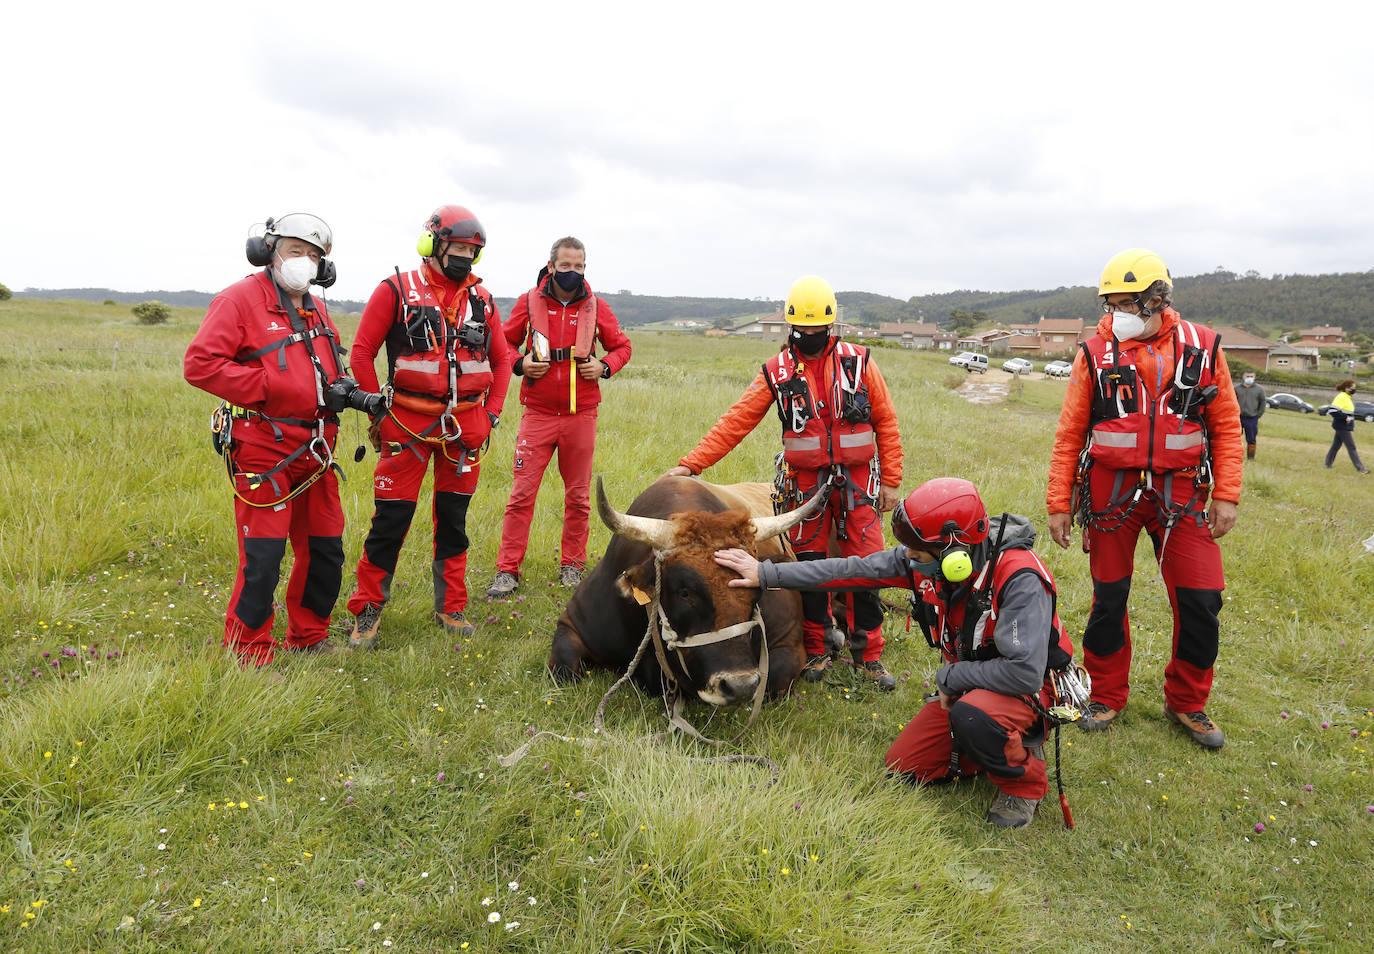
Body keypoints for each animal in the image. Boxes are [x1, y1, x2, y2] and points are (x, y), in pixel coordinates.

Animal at [546, 475, 818, 703]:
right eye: (685, 592)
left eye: (756, 594)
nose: (740, 686)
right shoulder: (572, 625)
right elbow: (564, 668)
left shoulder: (788, 646)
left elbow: (772, 682)